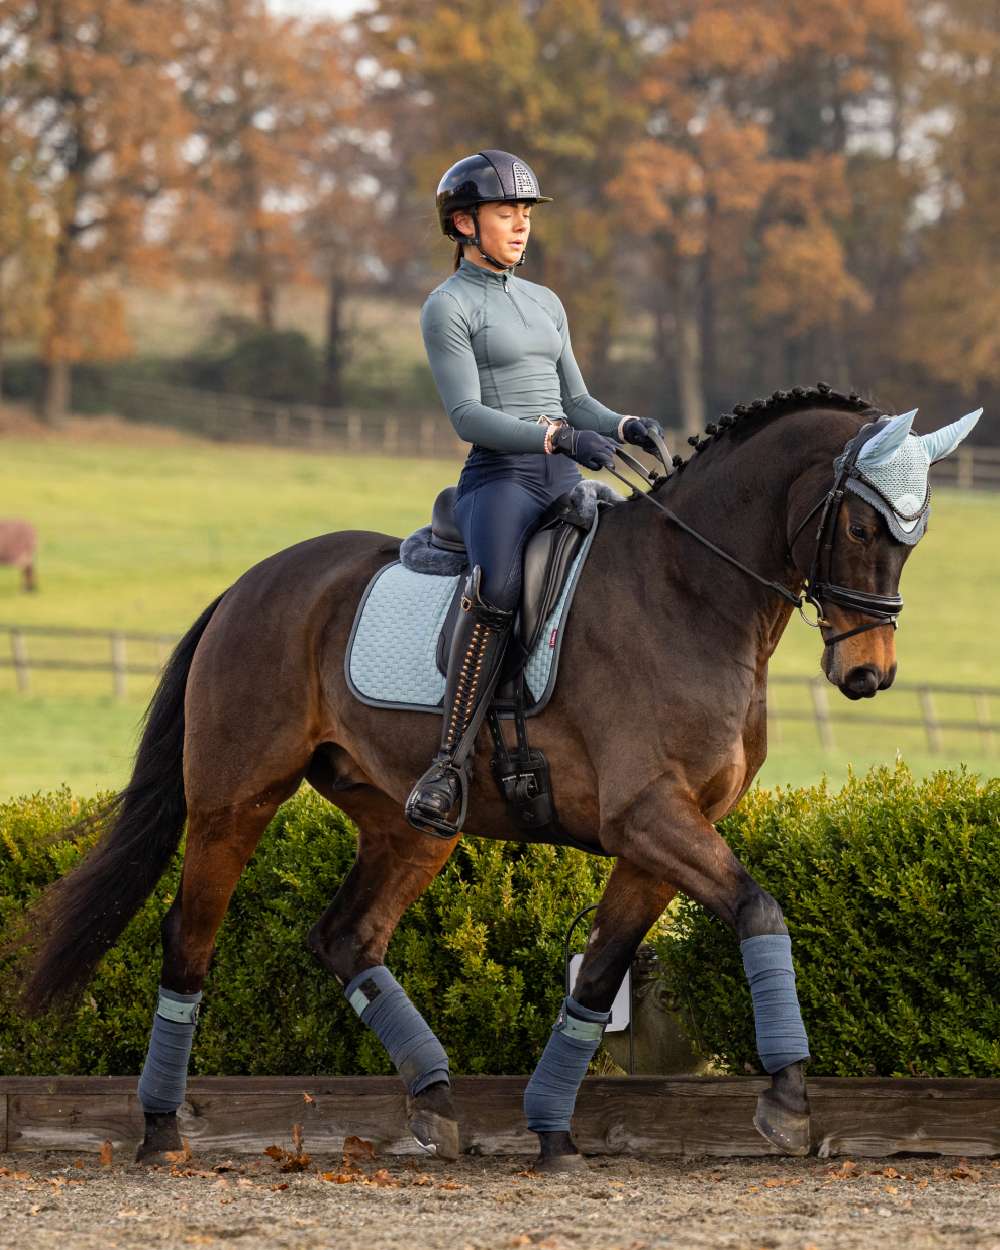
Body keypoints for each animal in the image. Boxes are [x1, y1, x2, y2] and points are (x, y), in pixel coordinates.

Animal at [13, 382, 985, 1170]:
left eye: (917, 533)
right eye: (860, 525)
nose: (868, 675)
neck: (691, 593)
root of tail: (250, 585)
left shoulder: (662, 836)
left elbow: (597, 978)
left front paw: (554, 1135)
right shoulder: (650, 818)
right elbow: (759, 910)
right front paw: (785, 1101)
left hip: (409, 822)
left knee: (347, 937)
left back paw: (437, 1104)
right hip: (235, 799)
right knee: (190, 935)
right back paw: (160, 1131)